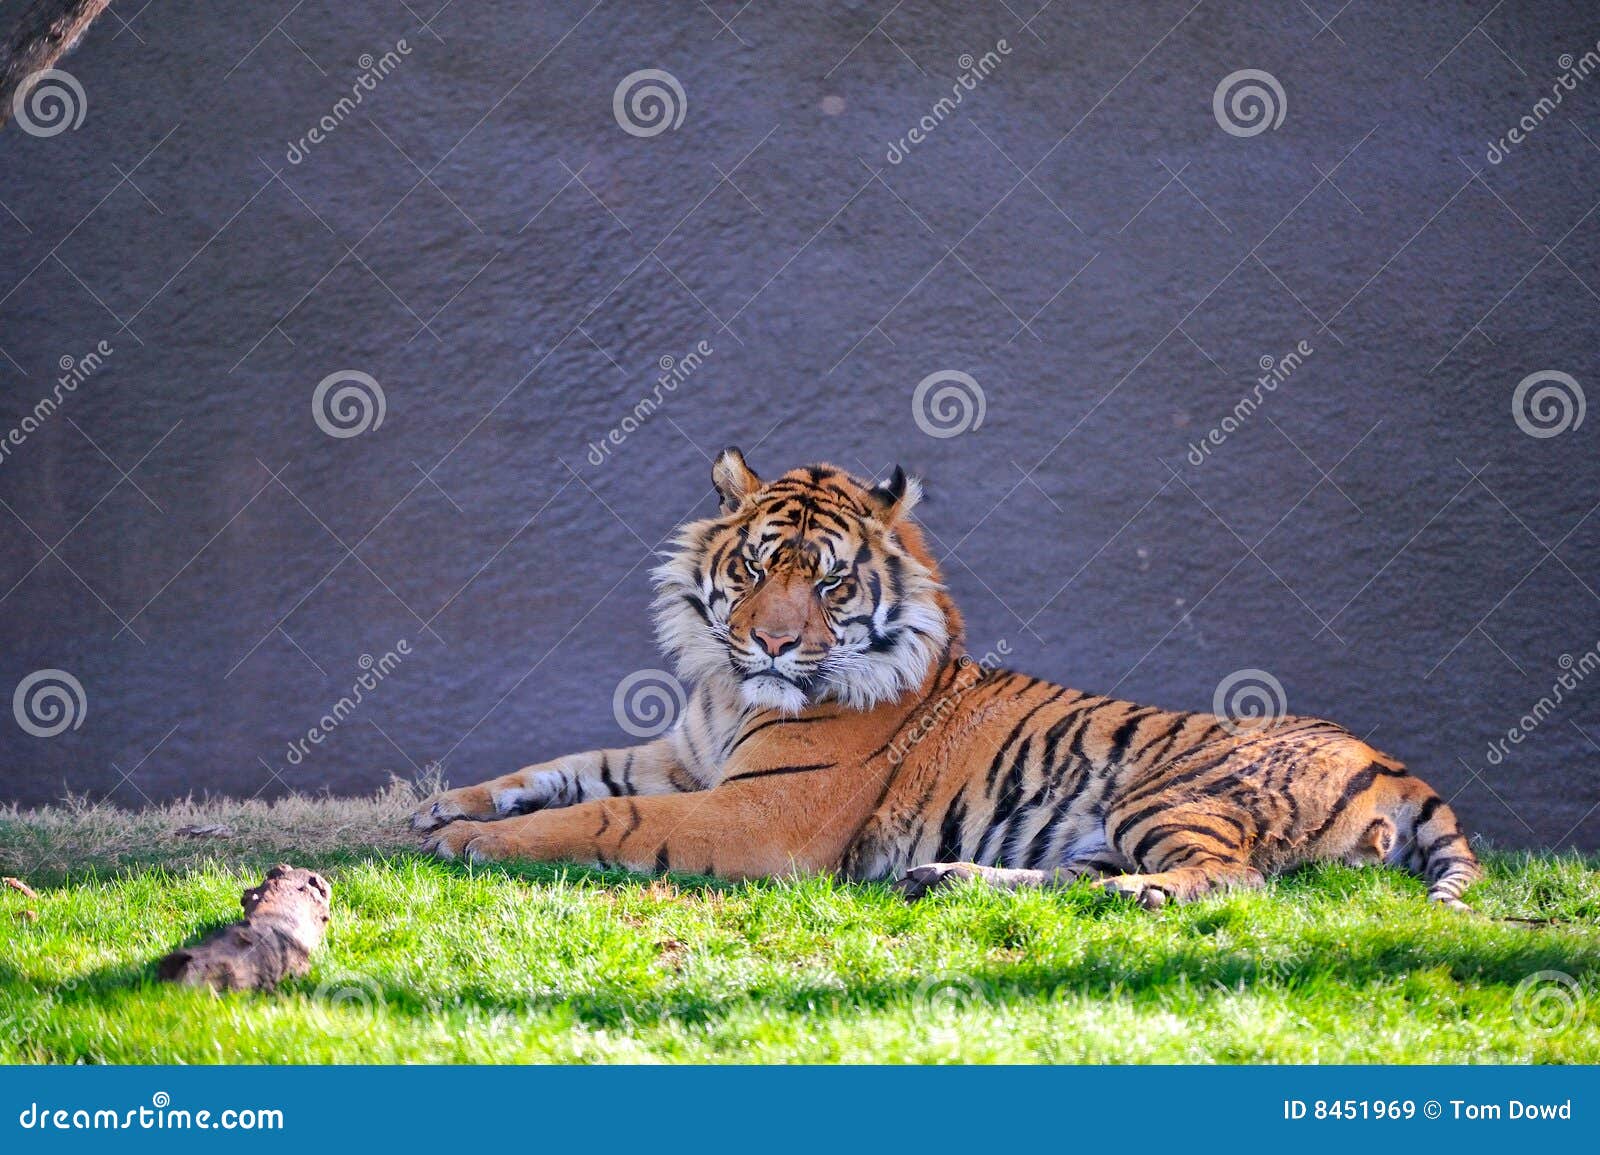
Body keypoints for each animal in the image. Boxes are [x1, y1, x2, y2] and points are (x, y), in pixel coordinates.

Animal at [416, 451, 1484, 908]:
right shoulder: (683, 760)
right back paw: (944, 876)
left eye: (830, 580)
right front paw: (445, 803)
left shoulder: (754, 814)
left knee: (1235, 879)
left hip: (1172, 795)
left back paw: (1146, 896)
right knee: (1071, 879)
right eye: (755, 568)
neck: (730, 690)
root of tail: (1395, 763)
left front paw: (472, 841)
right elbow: (566, 767)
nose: (770, 644)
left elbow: (601, 816)